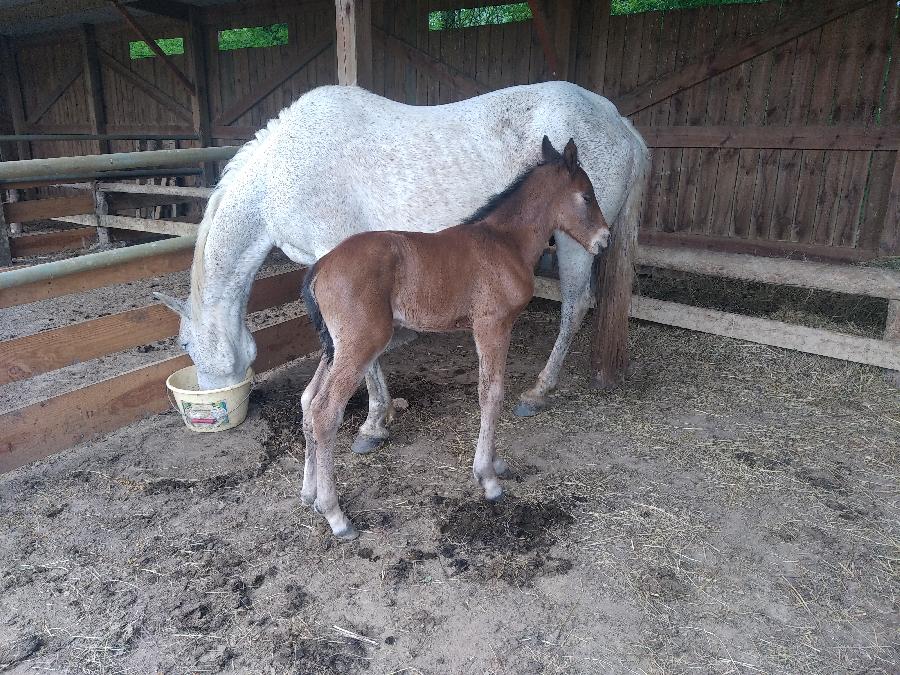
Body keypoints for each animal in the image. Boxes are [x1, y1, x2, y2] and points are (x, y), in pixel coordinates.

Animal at [155, 83, 648, 454]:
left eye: (185, 343)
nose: (209, 399)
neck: (280, 172)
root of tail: (618, 122)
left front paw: (374, 423)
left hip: (575, 242)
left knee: (575, 306)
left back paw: (538, 392)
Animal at [298, 136, 608, 540]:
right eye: (586, 195)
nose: (605, 239)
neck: (505, 242)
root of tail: (321, 266)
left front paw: (496, 464)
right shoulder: (493, 325)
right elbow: (491, 394)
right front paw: (488, 479)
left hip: (333, 346)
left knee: (308, 401)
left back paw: (309, 494)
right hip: (360, 344)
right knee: (324, 411)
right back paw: (335, 514)